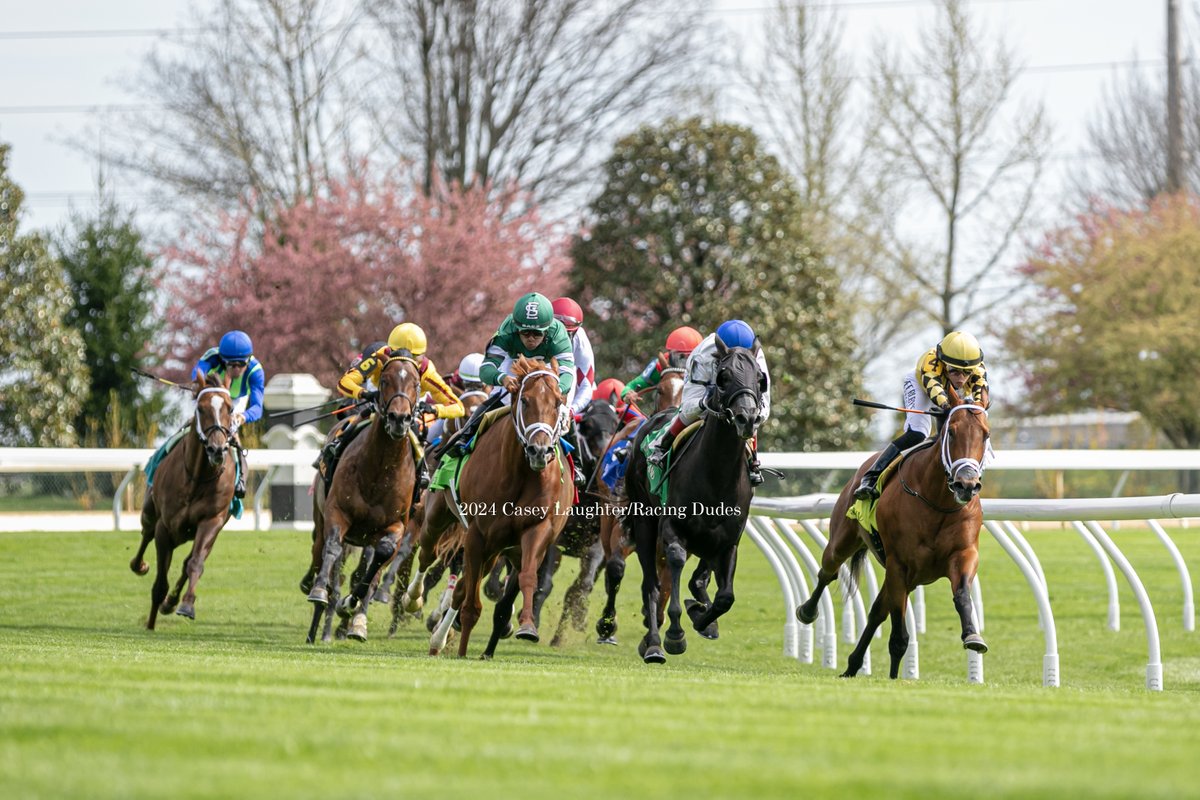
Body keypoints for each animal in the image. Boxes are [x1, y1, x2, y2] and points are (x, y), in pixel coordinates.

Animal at [130, 371, 236, 628]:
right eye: (201, 408)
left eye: (230, 408)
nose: (217, 450)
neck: (198, 477)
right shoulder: (165, 527)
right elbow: (159, 583)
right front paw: (150, 625)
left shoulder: (211, 521)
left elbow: (195, 563)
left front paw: (186, 604)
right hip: (150, 511)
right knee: (146, 533)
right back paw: (139, 565)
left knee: (189, 562)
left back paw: (172, 601)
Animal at [302, 357, 424, 642]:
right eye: (385, 380)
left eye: (416, 383)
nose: (399, 419)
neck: (380, 470)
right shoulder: (337, 512)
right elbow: (332, 549)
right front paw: (320, 592)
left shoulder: (397, 526)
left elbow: (377, 564)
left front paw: (352, 608)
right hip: (321, 519)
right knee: (321, 553)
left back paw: (355, 620)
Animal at [420, 357, 573, 657]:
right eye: (525, 400)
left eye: (558, 402)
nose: (540, 451)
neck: (521, 473)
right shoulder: (477, 534)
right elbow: (470, 605)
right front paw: (462, 651)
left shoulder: (535, 531)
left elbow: (527, 578)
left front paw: (527, 627)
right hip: (440, 518)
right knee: (427, 553)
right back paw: (414, 601)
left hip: (497, 549)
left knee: (464, 586)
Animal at [624, 340, 763, 666]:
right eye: (723, 377)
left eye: (760, 378)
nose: (747, 418)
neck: (716, 473)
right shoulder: (672, 529)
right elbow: (673, 567)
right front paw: (675, 635)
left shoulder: (729, 541)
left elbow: (725, 597)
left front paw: (702, 618)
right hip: (644, 521)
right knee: (651, 584)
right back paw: (653, 644)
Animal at [796, 383, 993, 681]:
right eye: (952, 431)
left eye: (985, 434)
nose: (966, 484)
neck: (937, 501)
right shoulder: (899, 564)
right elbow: (899, 637)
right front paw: (893, 678)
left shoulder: (963, 554)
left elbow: (961, 594)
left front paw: (973, 636)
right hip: (843, 542)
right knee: (827, 572)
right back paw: (807, 611)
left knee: (877, 611)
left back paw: (852, 664)